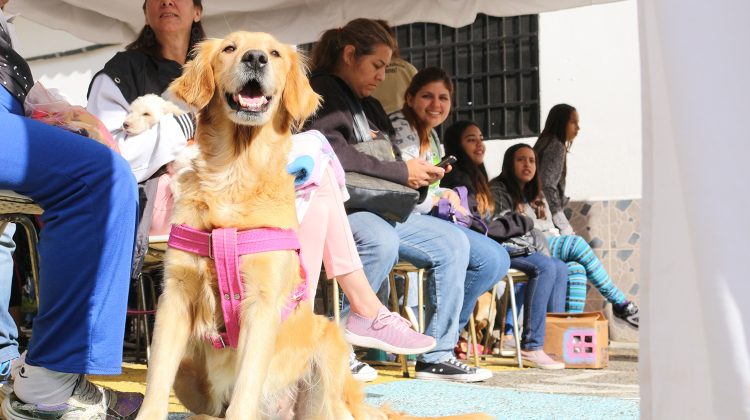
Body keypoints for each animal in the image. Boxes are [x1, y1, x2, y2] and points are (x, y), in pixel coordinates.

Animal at [135, 30, 494, 420]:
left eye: (274, 53)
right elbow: (156, 383)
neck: (234, 173)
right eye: (230, 48)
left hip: (327, 348)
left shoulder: (262, 303)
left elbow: (245, 388)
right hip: (190, 372)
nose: (255, 58)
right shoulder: (175, 297)